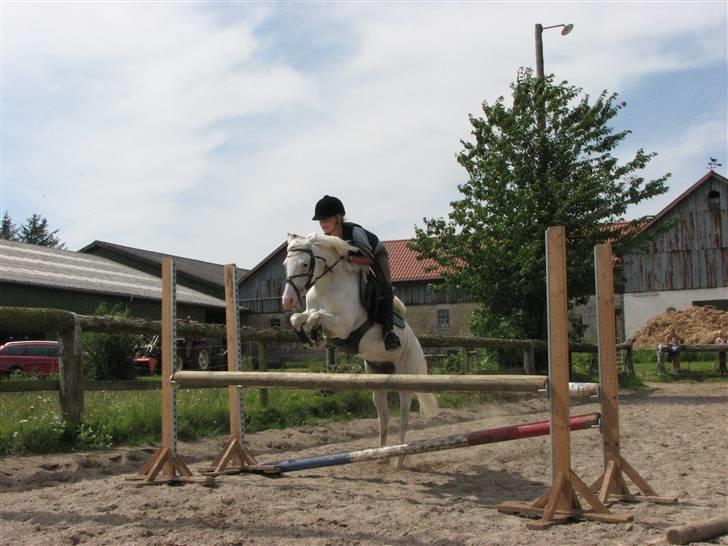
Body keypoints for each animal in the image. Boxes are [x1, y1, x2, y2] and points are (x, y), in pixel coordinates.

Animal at [281, 233, 439, 467]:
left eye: (304, 264)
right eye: (285, 264)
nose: (288, 299)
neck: (327, 286)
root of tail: (418, 348)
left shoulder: (343, 326)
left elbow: (316, 316)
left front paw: (314, 331)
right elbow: (300, 318)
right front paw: (308, 337)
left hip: (405, 379)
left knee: (404, 418)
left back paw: (399, 460)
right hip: (377, 378)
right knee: (383, 417)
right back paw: (382, 455)